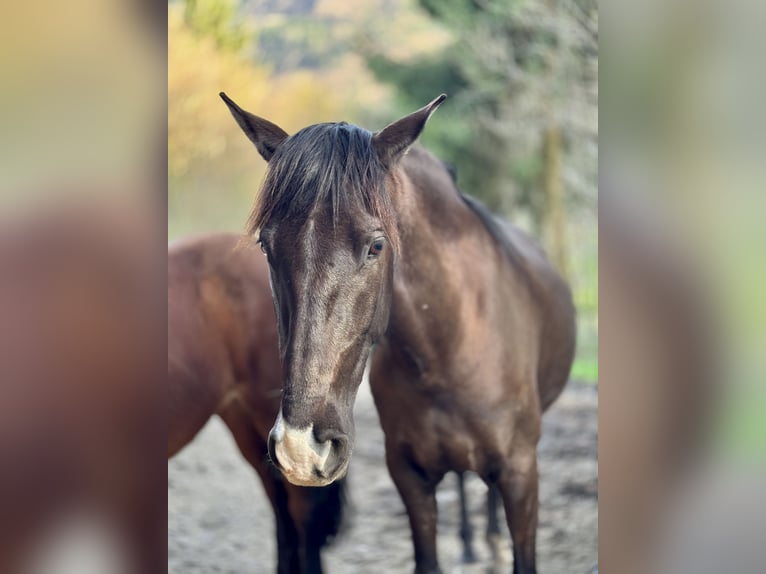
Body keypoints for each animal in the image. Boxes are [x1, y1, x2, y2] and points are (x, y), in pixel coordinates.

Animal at [220, 92, 576, 572]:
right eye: (265, 245)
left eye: (376, 245)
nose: (301, 449)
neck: (449, 349)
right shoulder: (409, 478)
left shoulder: (522, 473)